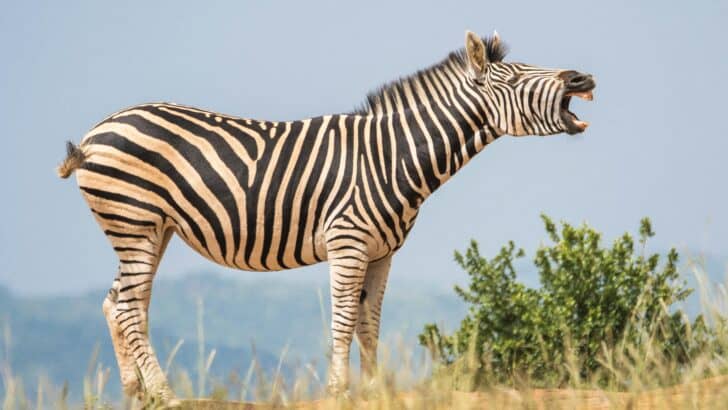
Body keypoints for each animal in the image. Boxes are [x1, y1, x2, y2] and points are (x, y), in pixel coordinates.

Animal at [57, 30, 594, 401]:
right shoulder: (348, 242)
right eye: (519, 77)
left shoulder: (383, 253)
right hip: (135, 221)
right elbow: (342, 320)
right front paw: (339, 391)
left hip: (150, 228)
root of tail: (95, 132)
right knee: (129, 306)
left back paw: (137, 394)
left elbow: (369, 323)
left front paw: (375, 391)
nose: (583, 78)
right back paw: (167, 397)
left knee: (118, 303)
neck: (392, 157)